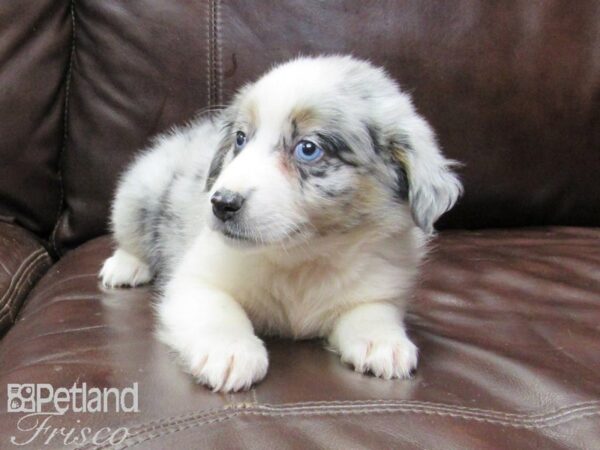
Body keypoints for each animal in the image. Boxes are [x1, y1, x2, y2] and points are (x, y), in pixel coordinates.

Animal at [101, 56, 462, 392]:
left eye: (308, 148)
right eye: (241, 139)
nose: (221, 203)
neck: (303, 259)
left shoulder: (382, 285)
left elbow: (372, 311)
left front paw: (383, 342)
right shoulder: (195, 280)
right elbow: (218, 310)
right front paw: (230, 352)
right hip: (139, 192)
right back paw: (125, 267)